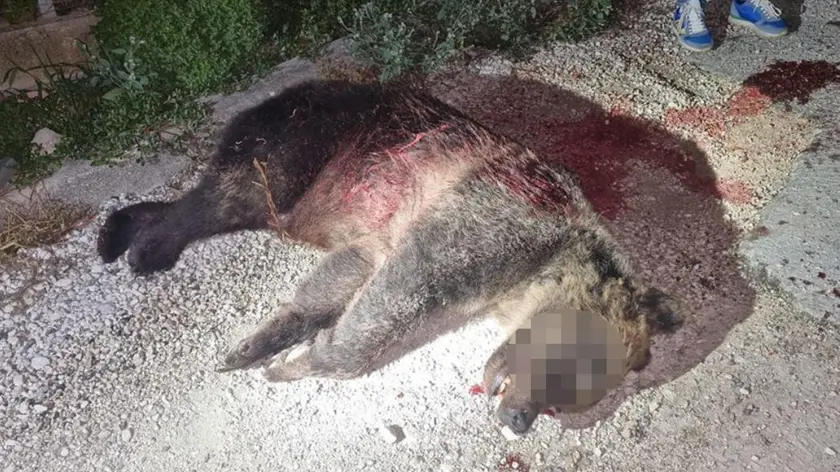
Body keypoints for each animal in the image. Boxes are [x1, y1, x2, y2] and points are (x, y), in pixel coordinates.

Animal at [96, 79, 683, 435]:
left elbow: (342, 279)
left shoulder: (388, 236)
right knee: (226, 197)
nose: (521, 419)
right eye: (571, 363)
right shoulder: (494, 223)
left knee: (217, 202)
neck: (526, 279)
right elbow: (397, 296)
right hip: (304, 143)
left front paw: (273, 343)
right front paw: (302, 359)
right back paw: (149, 246)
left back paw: (125, 229)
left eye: (574, 396)